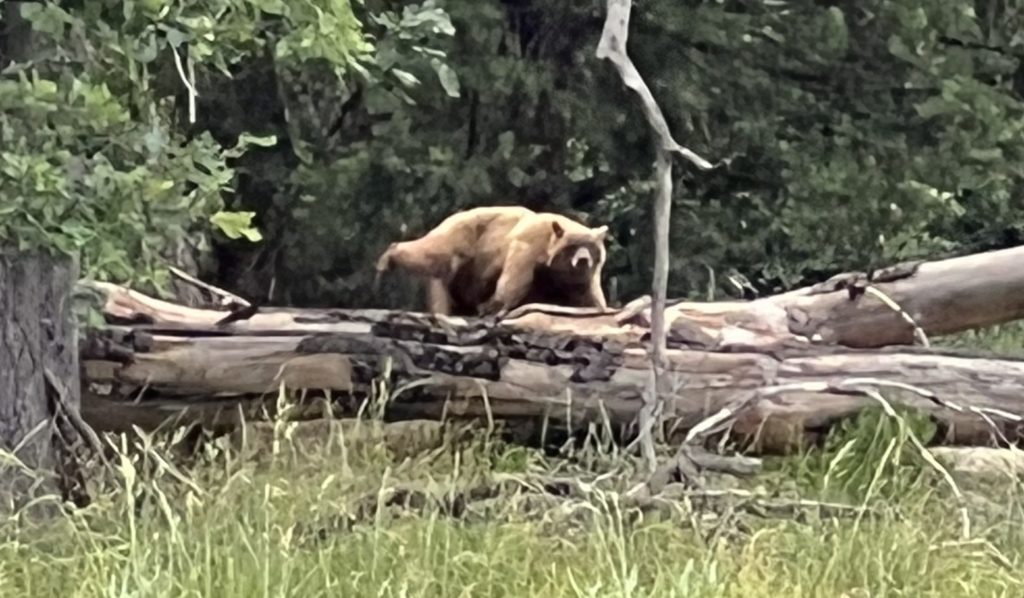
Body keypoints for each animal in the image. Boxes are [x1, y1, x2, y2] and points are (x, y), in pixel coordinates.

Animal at [380, 205, 610, 317]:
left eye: (591, 247)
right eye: (572, 247)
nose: (583, 260)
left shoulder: (574, 282)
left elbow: (590, 299)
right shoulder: (528, 247)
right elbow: (514, 281)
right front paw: (490, 307)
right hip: (463, 241)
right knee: (436, 252)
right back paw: (389, 257)